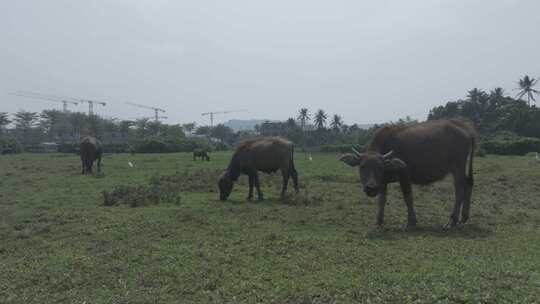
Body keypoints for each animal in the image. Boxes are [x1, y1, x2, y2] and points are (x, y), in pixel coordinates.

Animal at [340, 119, 474, 228]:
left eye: (380, 167)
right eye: (362, 166)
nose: (371, 188)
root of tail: (465, 129)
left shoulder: (404, 175)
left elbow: (408, 196)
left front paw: (411, 222)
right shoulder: (382, 182)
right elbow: (382, 200)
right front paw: (379, 221)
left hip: (457, 167)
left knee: (459, 189)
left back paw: (452, 221)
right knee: (468, 184)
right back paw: (464, 217)